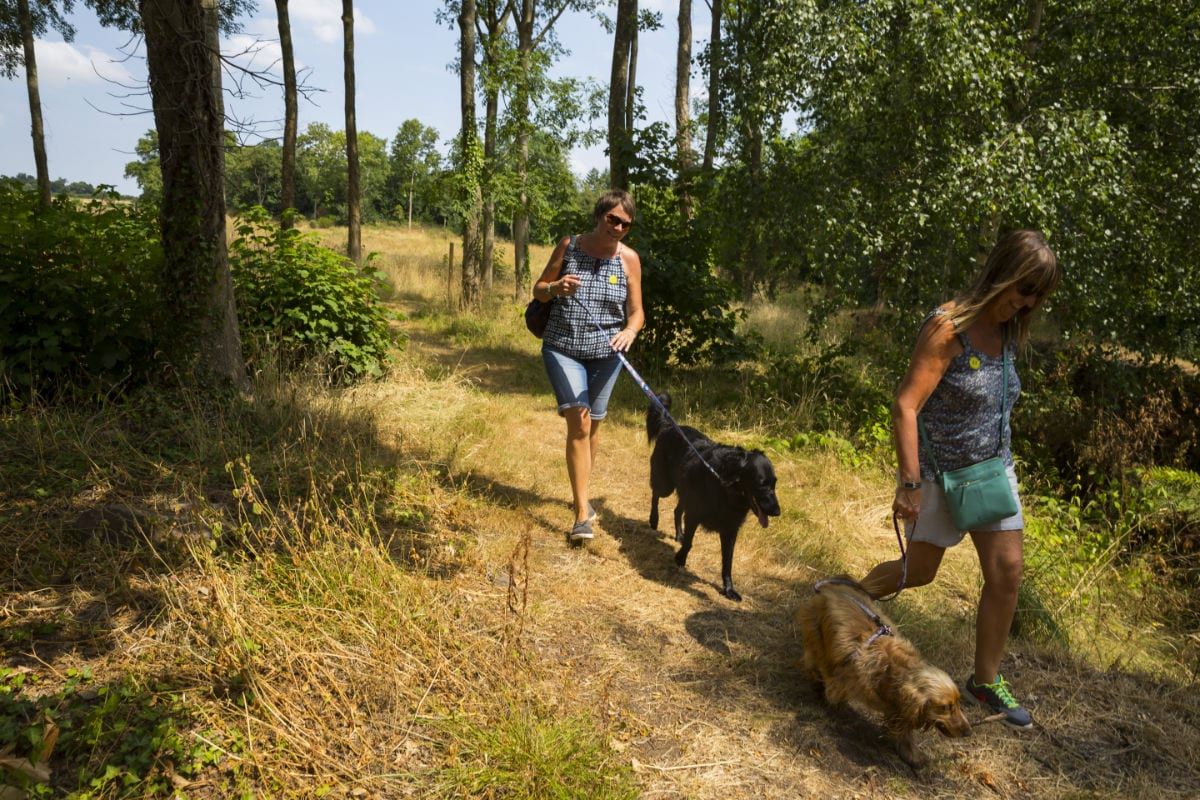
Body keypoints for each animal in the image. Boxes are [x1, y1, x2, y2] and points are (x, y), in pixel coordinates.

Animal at [643, 393, 782, 599]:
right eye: (761, 484)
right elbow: (690, 543)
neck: (726, 488)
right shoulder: (695, 515)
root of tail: (670, 426)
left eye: (774, 484)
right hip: (665, 484)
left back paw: (679, 535)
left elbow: (727, 562)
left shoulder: (730, 530)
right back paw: (654, 520)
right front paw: (680, 559)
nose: (777, 511)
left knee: (676, 510)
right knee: (655, 495)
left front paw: (729, 589)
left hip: (685, 493)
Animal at [796, 578, 974, 767]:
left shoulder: (899, 707)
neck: (891, 670)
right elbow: (833, 689)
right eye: (945, 707)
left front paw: (911, 753)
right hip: (816, 633)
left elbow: (903, 728)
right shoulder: (843, 676)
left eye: (957, 703)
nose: (968, 732)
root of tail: (828, 587)